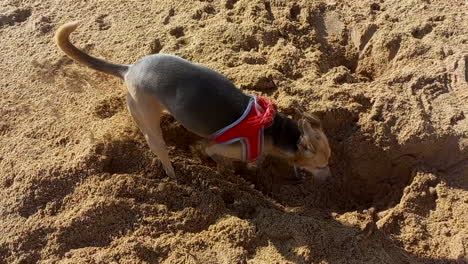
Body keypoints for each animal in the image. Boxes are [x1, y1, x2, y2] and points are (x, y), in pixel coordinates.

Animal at [55, 21, 332, 179]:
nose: (329, 178)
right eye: (322, 165)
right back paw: (173, 174)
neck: (276, 130)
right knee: (159, 148)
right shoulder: (218, 146)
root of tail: (129, 69)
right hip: (148, 121)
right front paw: (229, 170)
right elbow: (214, 153)